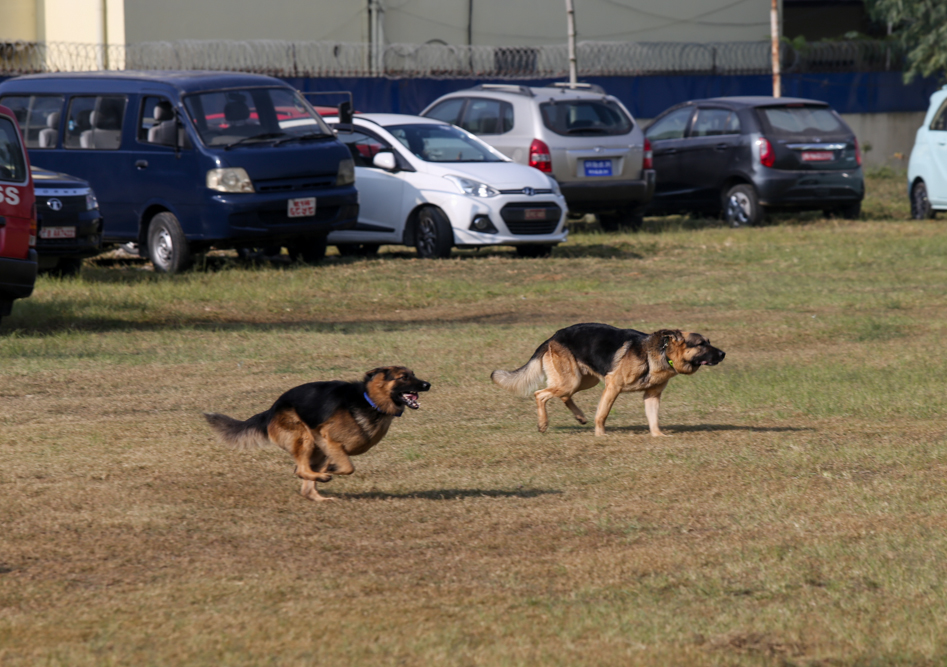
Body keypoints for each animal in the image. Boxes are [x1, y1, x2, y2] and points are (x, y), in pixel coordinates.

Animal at [207, 366, 434, 500]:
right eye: (404, 377)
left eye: (414, 374)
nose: (428, 384)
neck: (369, 400)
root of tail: (272, 410)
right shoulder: (328, 439)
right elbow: (348, 467)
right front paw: (331, 471)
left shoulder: (331, 447)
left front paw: (329, 471)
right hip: (306, 437)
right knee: (300, 470)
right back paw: (321, 477)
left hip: (317, 449)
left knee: (306, 486)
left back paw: (320, 496)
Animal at [488, 324, 724, 438]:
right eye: (701, 344)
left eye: (709, 342)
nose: (723, 354)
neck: (662, 352)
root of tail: (552, 338)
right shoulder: (613, 386)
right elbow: (602, 414)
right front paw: (601, 435)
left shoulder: (652, 395)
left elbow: (653, 418)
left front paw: (658, 436)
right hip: (572, 380)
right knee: (540, 394)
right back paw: (543, 424)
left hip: (583, 381)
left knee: (563, 396)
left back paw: (580, 416)